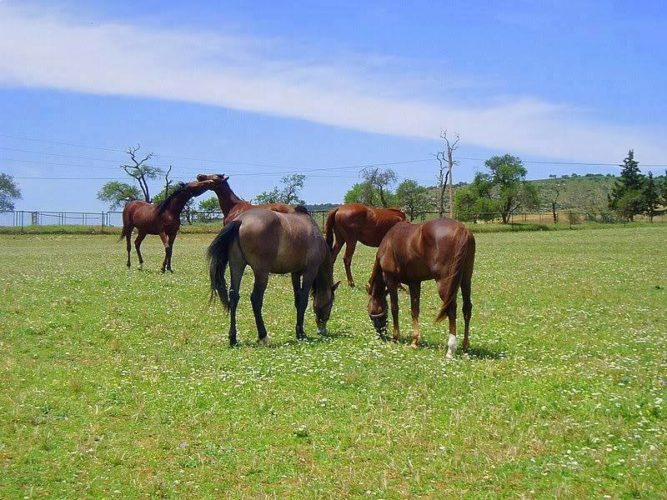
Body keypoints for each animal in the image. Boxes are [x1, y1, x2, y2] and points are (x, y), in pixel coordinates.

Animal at [207, 206, 340, 344]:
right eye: (331, 303)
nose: (322, 329)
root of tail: (241, 221)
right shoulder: (310, 271)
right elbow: (303, 300)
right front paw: (301, 333)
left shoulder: (295, 273)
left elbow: (297, 300)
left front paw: (298, 331)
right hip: (261, 273)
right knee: (256, 299)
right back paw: (263, 335)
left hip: (237, 266)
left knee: (234, 296)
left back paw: (233, 338)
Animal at [366, 219, 474, 360]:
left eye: (370, 313)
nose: (381, 335)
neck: (388, 243)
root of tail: (462, 229)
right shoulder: (414, 282)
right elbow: (415, 310)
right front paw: (414, 341)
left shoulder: (391, 280)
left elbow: (395, 308)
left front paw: (395, 337)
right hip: (465, 279)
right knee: (467, 308)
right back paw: (465, 346)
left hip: (445, 284)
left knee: (451, 309)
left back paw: (450, 350)